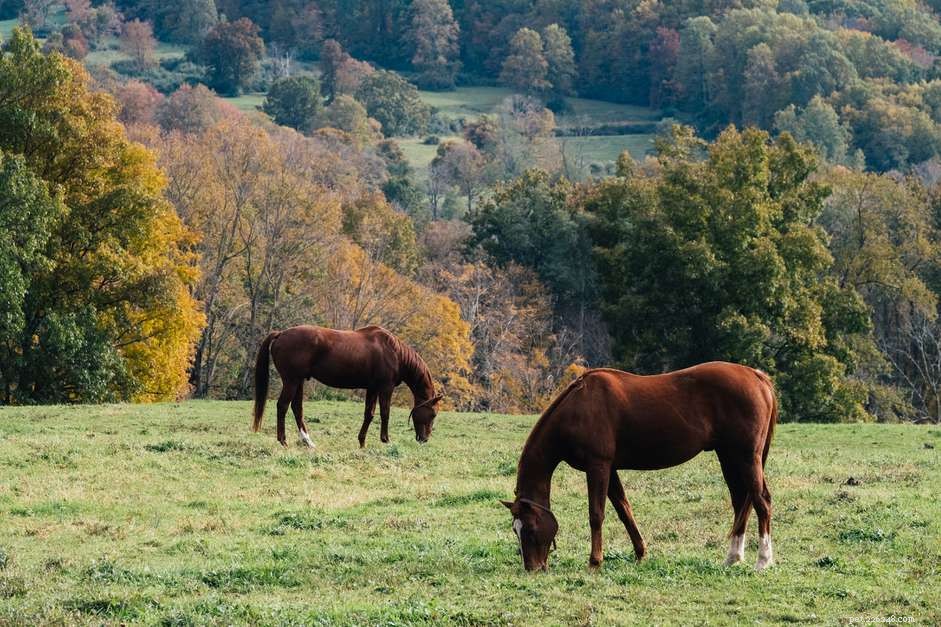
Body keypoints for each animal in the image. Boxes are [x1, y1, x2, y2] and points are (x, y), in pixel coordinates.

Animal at [252, 325, 443, 448]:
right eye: (433, 414)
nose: (424, 439)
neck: (394, 352)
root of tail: (281, 334)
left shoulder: (372, 388)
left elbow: (369, 414)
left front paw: (362, 442)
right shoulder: (385, 388)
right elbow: (385, 413)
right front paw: (386, 440)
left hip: (298, 381)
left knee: (296, 408)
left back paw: (308, 442)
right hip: (291, 381)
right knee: (282, 406)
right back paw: (283, 441)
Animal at [501, 362, 777, 572]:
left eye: (531, 529)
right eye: (516, 530)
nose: (533, 568)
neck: (578, 408)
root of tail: (757, 376)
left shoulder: (598, 466)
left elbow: (596, 514)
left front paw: (595, 562)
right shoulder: (610, 470)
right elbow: (625, 511)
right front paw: (640, 553)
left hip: (746, 457)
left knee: (761, 501)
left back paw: (763, 561)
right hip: (729, 457)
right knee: (741, 501)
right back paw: (733, 557)